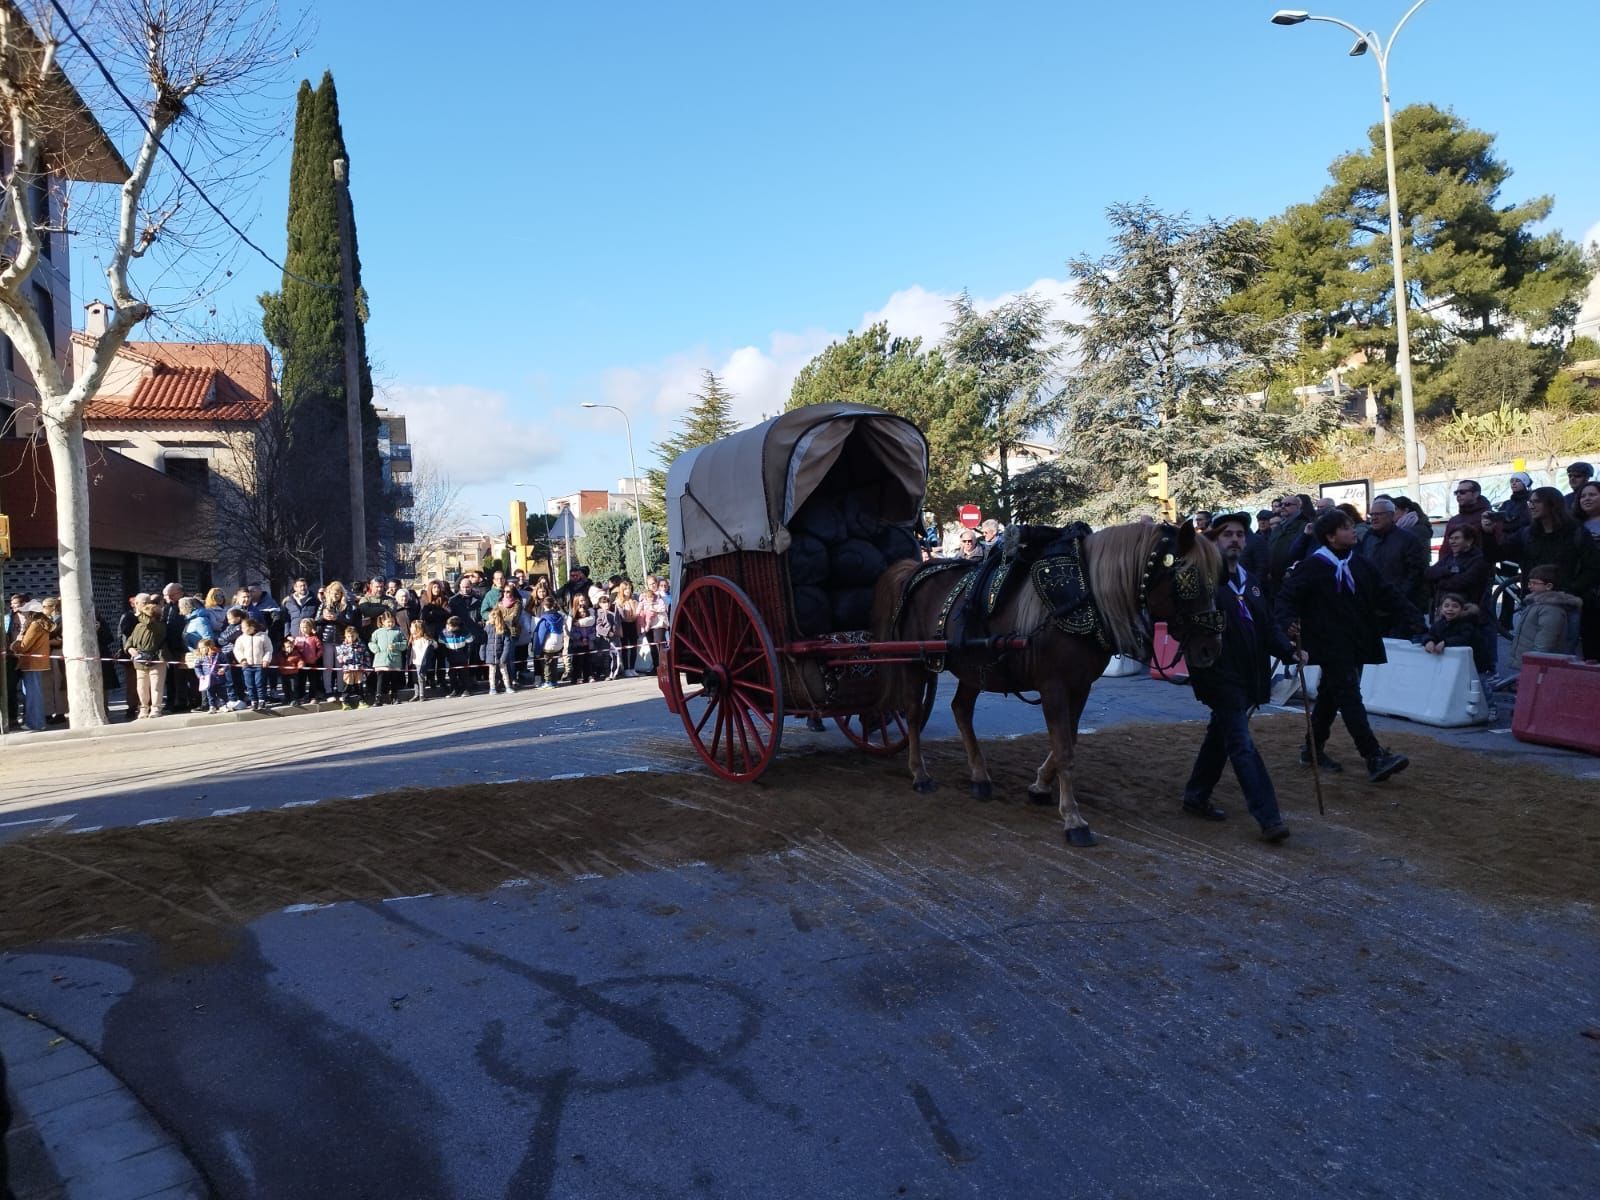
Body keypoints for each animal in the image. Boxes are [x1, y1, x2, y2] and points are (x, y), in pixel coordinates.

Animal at [876, 521, 1222, 851]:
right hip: (915, 662)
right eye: (1189, 579)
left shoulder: (1080, 686)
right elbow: (1065, 749)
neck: (1084, 593)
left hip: (974, 667)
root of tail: (916, 569)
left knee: (960, 709)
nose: (1210, 648)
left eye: (1218, 578)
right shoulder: (1053, 686)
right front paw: (1073, 819)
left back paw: (980, 776)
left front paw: (1041, 786)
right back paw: (920, 773)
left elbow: (1068, 741)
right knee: (913, 713)